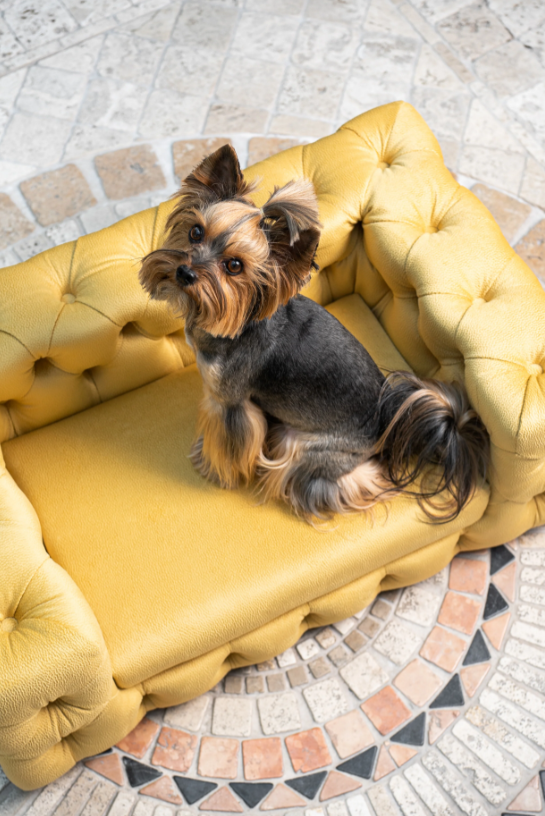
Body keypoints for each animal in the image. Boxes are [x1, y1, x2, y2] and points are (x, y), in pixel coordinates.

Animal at [140, 144, 488, 524]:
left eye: (234, 266)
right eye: (195, 232)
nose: (184, 272)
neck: (240, 324)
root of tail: (386, 426)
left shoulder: (230, 402)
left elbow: (228, 443)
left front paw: (214, 469)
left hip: (311, 447)